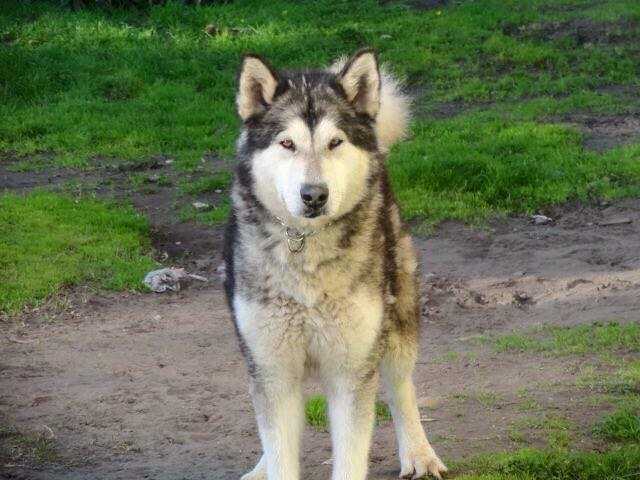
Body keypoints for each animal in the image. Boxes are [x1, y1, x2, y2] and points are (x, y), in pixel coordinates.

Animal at [222, 47, 448, 480]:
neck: (305, 248)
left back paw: (419, 454)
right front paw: (271, 465)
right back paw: (260, 467)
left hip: (397, 320)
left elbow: (351, 453)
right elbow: (280, 448)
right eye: (287, 143)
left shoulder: (351, 371)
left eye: (335, 142)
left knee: (402, 387)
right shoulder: (272, 368)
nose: (314, 195)